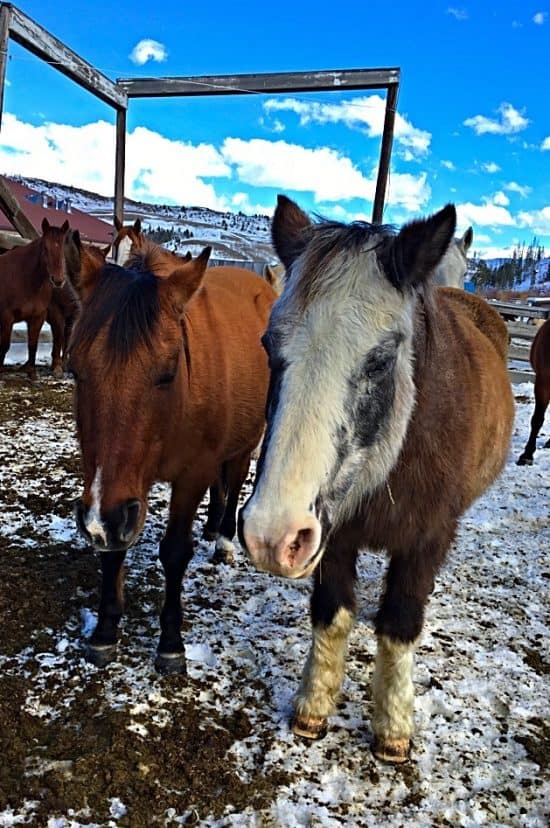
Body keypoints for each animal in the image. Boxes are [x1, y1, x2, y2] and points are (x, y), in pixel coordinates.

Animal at [0, 217, 70, 378]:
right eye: (45, 248)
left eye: (63, 249)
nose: (58, 280)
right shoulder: (7, 317)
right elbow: (4, 346)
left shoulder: (37, 316)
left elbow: (33, 344)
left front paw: (32, 372)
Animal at [68, 239, 276, 672]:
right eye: (75, 371)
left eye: (166, 374)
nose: (99, 520)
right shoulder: (111, 486)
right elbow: (114, 548)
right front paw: (105, 631)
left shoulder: (191, 474)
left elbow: (176, 552)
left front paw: (170, 643)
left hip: (246, 441)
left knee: (234, 481)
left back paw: (223, 541)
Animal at [239, 194, 516, 764]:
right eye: (268, 345)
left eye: (382, 360)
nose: (271, 536)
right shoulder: (332, 530)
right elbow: (332, 612)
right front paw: (314, 705)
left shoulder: (428, 539)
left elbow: (400, 624)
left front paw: (392, 727)